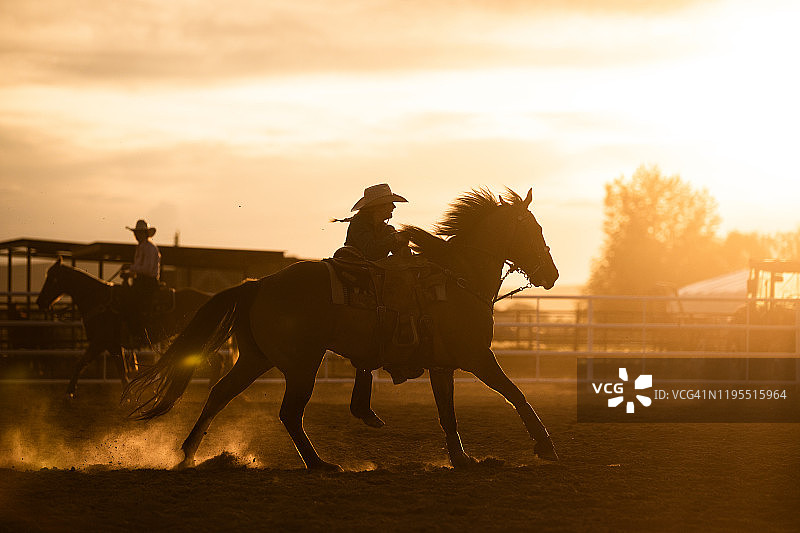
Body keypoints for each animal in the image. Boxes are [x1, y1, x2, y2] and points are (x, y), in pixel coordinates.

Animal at [36, 258, 212, 400]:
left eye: (52, 278)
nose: (40, 302)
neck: (98, 299)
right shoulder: (112, 345)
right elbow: (120, 371)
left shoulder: (101, 341)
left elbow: (82, 363)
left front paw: (69, 392)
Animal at [126, 188, 564, 470]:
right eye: (534, 230)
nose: (552, 274)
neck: (458, 278)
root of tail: (259, 283)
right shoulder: (477, 357)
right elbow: (516, 394)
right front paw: (546, 446)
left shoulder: (443, 366)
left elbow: (448, 413)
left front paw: (462, 458)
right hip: (302, 364)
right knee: (289, 412)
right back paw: (319, 463)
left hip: (257, 358)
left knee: (219, 394)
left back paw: (188, 453)